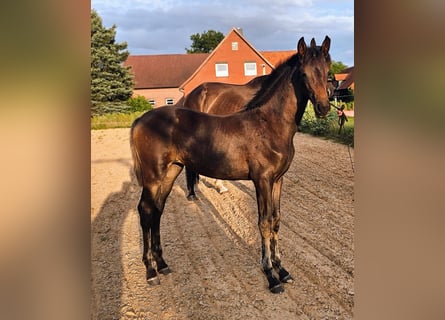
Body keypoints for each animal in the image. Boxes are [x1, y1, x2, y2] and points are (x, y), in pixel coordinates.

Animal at [128, 36, 330, 294]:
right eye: (304, 74)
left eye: (327, 71)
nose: (323, 107)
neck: (270, 123)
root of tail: (140, 120)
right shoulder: (262, 180)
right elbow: (264, 222)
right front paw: (271, 276)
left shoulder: (278, 180)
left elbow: (276, 220)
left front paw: (283, 270)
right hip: (153, 176)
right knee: (145, 211)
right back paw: (151, 271)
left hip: (171, 171)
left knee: (157, 209)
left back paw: (162, 264)